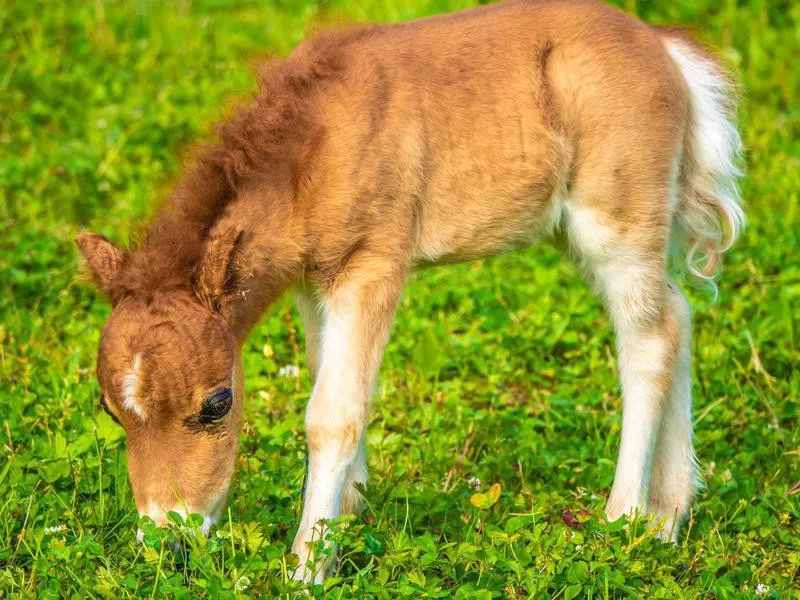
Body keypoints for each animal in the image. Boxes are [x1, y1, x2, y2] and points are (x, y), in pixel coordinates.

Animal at [78, 0, 740, 580]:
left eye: (218, 403)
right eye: (110, 409)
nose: (169, 539)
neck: (313, 148)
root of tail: (666, 49)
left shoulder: (372, 265)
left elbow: (333, 412)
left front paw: (307, 566)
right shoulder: (314, 281)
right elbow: (327, 378)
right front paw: (350, 516)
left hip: (614, 222)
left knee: (649, 340)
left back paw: (622, 520)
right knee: (677, 313)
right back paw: (667, 518)